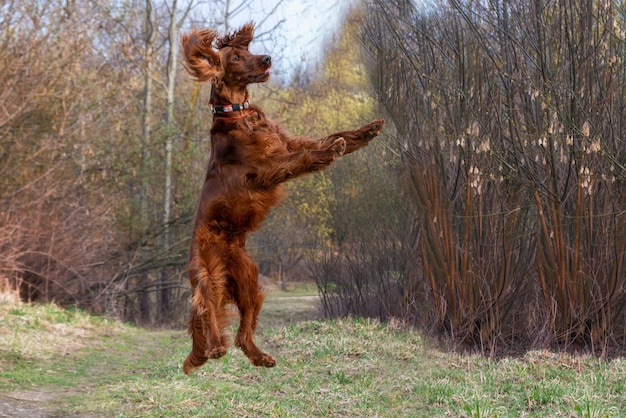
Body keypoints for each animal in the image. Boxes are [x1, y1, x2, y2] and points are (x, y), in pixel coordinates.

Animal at [178, 22, 382, 372]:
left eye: (247, 50)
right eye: (235, 57)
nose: (266, 59)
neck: (239, 113)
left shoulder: (288, 144)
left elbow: (329, 136)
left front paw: (365, 131)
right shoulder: (267, 167)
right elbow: (304, 157)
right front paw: (330, 151)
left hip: (250, 284)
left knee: (242, 334)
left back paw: (259, 357)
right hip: (206, 274)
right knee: (207, 312)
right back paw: (215, 347)